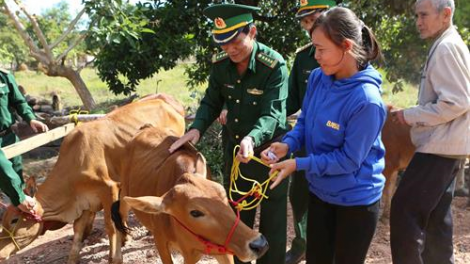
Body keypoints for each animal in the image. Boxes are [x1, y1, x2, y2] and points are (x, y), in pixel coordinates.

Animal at [0, 94, 186, 262]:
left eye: (14, 220)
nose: (1, 254)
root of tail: (169, 102)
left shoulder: (109, 188)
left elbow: (111, 226)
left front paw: (115, 257)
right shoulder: (85, 201)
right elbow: (78, 230)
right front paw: (73, 258)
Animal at [109, 127, 268, 262]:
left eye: (223, 194)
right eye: (195, 212)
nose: (259, 244)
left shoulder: (223, 251)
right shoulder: (161, 243)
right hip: (124, 192)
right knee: (118, 214)